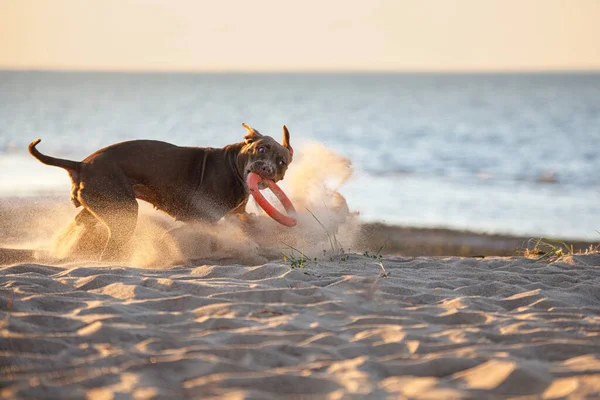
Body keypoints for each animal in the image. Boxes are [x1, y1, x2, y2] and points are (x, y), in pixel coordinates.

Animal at [28, 122, 292, 260]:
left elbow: (246, 221)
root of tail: (82, 165)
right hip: (124, 212)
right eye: (261, 149)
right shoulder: (201, 218)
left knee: (82, 221)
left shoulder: (234, 214)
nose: (266, 169)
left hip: (102, 205)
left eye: (282, 162)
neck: (233, 165)